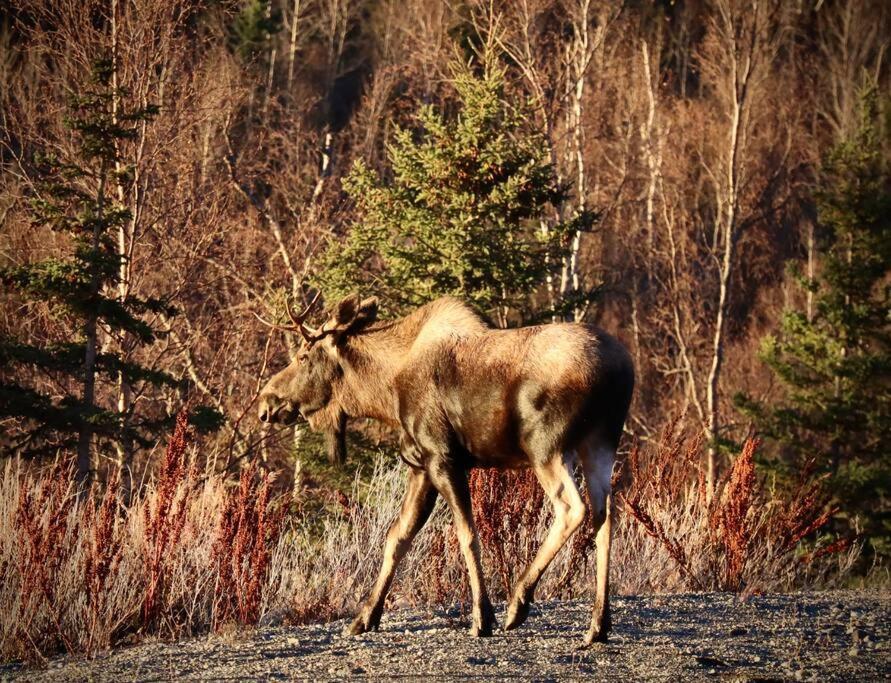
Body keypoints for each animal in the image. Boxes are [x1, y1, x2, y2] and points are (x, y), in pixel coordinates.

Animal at [258, 294, 636, 648]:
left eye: (303, 356)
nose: (266, 402)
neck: (386, 392)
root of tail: (620, 371)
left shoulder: (443, 459)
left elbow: (467, 535)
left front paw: (482, 617)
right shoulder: (421, 466)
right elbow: (397, 538)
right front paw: (364, 617)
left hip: (547, 448)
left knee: (573, 509)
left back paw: (518, 603)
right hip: (600, 445)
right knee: (605, 519)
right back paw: (598, 625)